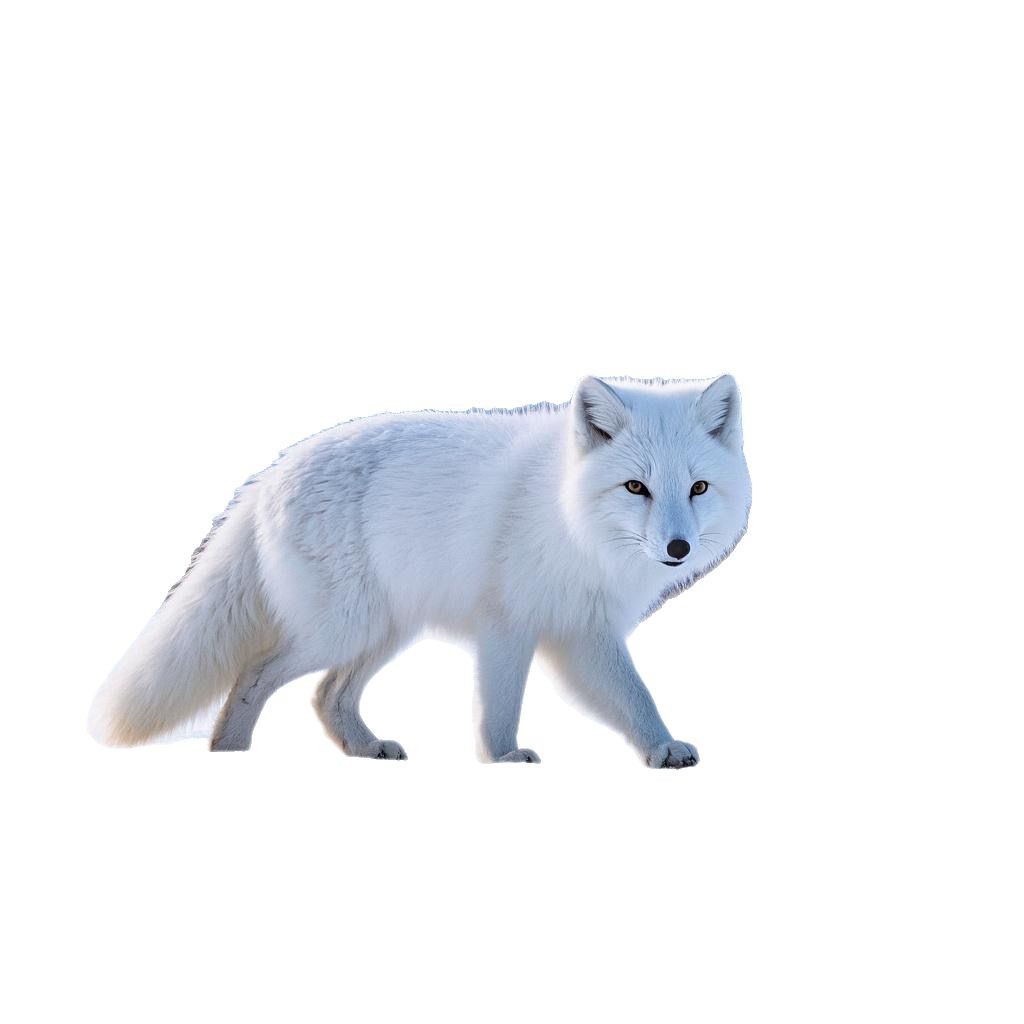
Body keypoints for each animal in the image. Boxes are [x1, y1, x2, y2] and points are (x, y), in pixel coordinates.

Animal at [90, 375, 752, 767]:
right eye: (636, 487)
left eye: (697, 488)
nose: (677, 548)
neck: (570, 517)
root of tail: (269, 474)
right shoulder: (508, 624)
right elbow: (501, 707)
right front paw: (503, 760)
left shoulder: (583, 632)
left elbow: (634, 696)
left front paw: (660, 746)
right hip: (341, 630)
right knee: (253, 676)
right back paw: (229, 754)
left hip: (384, 631)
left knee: (328, 696)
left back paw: (364, 749)